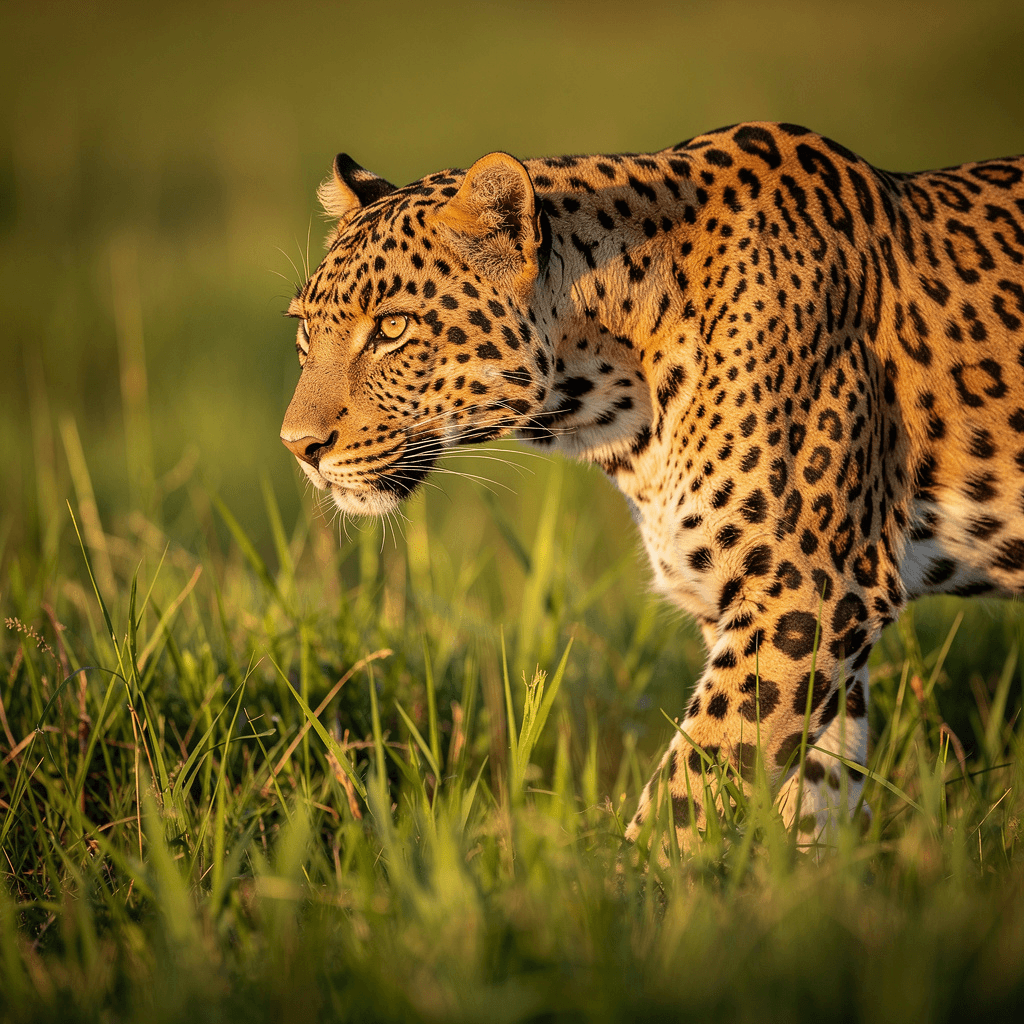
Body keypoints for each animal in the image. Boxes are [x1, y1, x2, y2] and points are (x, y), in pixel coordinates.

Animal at [280, 122, 1024, 849]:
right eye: (305, 332)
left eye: (392, 327)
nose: (299, 447)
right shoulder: (795, 617)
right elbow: (811, 795)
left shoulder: (810, 591)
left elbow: (690, 788)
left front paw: (630, 883)